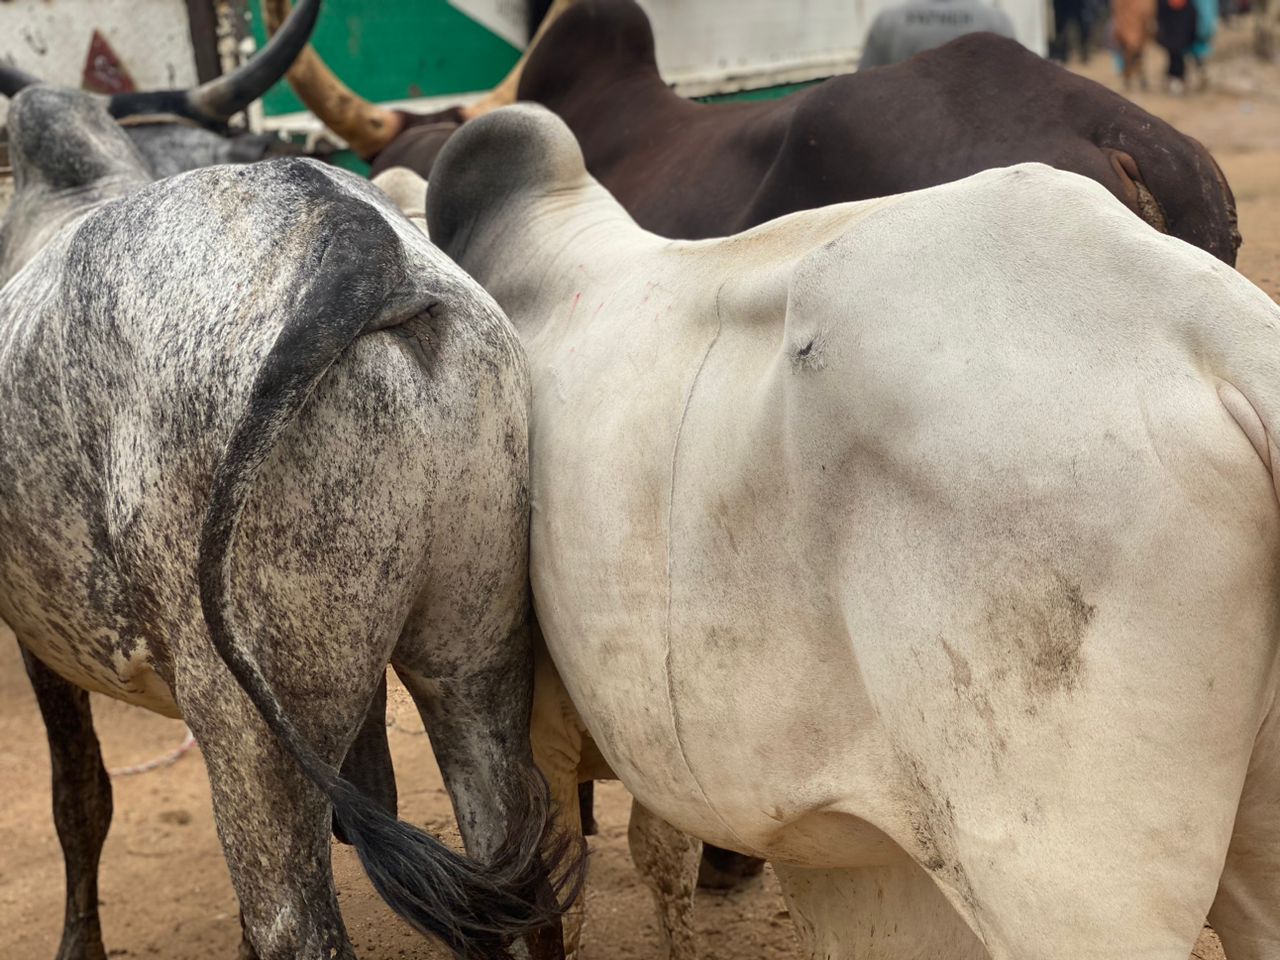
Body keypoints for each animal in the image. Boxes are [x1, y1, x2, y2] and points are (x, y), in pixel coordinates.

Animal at [0, 86, 582, 960]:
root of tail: (360, 248)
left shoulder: (42, 642)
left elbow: (80, 799)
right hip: (476, 660)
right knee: (517, 871)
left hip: (248, 720)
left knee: (291, 922)